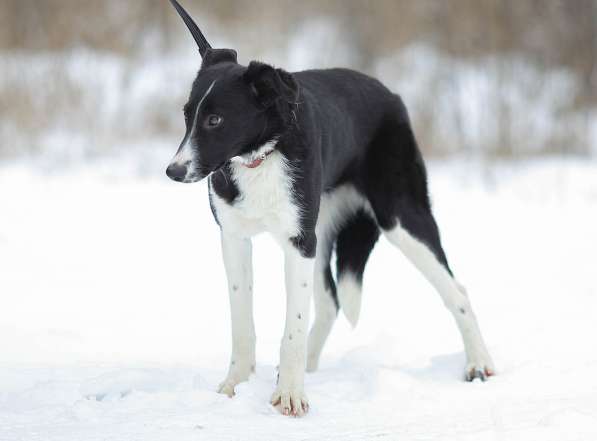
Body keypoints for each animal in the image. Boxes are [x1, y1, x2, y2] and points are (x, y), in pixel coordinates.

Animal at [164, 0, 494, 416]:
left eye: (215, 119)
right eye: (186, 114)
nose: (173, 171)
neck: (262, 156)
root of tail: (391, 95)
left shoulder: (298, 242)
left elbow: (292, 325)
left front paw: (289, 395)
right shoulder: (235, 238)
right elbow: (242, 322)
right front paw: (234, 386)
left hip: (400, 217)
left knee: (457, 291)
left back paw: (478, 363)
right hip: (323, 231)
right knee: (330, 302)